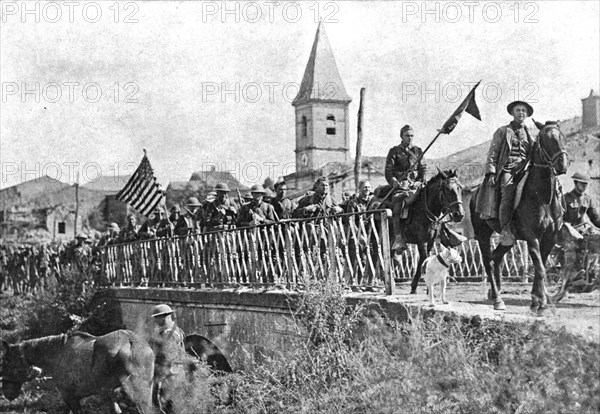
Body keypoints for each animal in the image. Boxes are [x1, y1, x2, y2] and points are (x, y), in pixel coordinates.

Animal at [472, 124, 568, 312]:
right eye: (545, 139)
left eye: (561, 136)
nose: (562, 164)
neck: (542, 197)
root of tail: (475, 193)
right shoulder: (532, 237)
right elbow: (540, 268)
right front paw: (540, 303)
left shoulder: (549, 238)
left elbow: (541, 266)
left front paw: (536, 301)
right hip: (483, 235)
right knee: (488, 262)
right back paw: (498, 300)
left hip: (509, 239)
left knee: (497, 258)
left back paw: (495, 293)